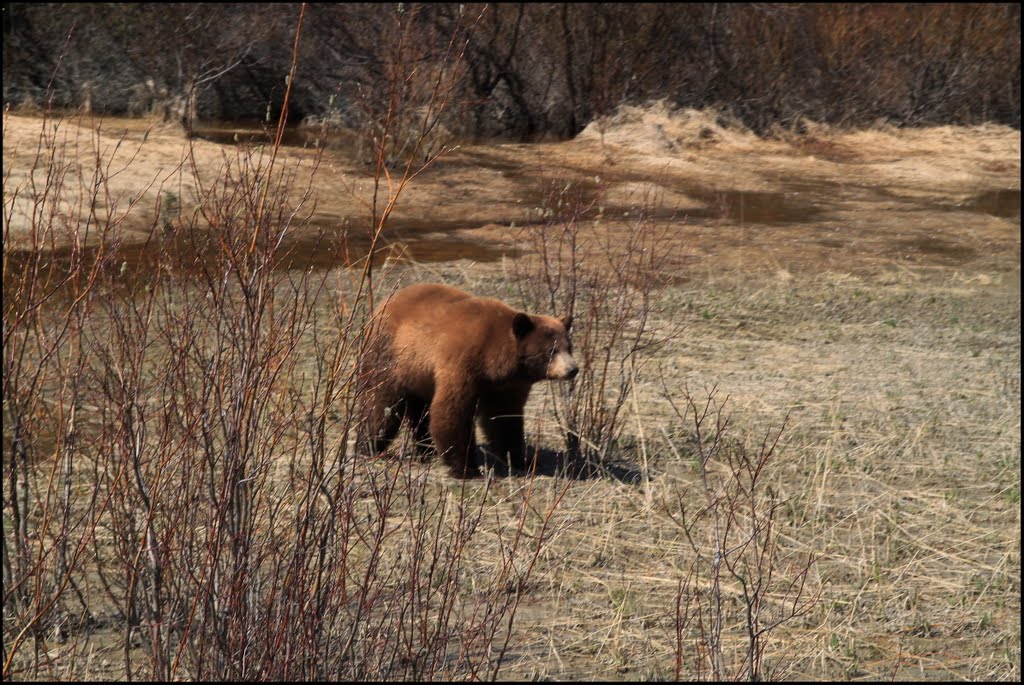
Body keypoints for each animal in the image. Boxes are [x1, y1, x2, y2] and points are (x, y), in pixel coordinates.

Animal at [358, 282, 581, 475]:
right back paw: (369, 446)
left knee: (420, 410)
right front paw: (465, 467)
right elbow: (453, 411)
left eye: (568, 347)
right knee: (381, 403)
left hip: (418, 374)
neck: (496, 362)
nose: (573, 369)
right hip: (391, 355)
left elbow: (505, 419)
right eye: (551, 351)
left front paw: (520, 459)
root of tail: (385, 302)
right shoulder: (463, 364)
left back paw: (426, 450)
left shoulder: (507, 386)